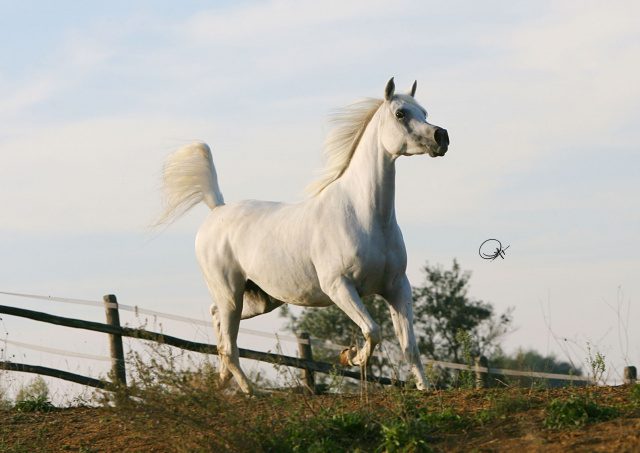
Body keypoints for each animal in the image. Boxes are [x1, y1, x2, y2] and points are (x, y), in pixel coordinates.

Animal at [154, 77, 448, 392]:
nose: (441, 136)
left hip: (257, 300)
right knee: (229, 345)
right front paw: (350, 356)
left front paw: (425, 388)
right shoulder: (339, 286)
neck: (364, 215)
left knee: (217, 324)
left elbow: (409, 345)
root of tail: (216, 209)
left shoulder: (397, 287)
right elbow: (373, 330)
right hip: (231, 295)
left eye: (424, 113)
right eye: (400, 114)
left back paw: (222, 382)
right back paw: (250, 392)